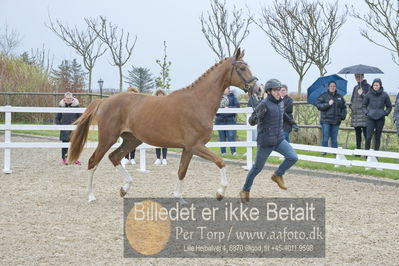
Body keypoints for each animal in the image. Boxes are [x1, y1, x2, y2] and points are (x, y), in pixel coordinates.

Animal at [69, 48, 260, 202]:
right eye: (242, 68)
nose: (258, 89)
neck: (198, 102)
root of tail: (104, 101)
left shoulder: (188, 148)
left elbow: (182, 171)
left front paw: (179, 198)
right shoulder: (196, 145)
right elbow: (220, 162)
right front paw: (220, 192)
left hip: (132, 140)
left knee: (114, 157)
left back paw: (125, 188)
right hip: (107, 138)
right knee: (93, 161)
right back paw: (91, 196)